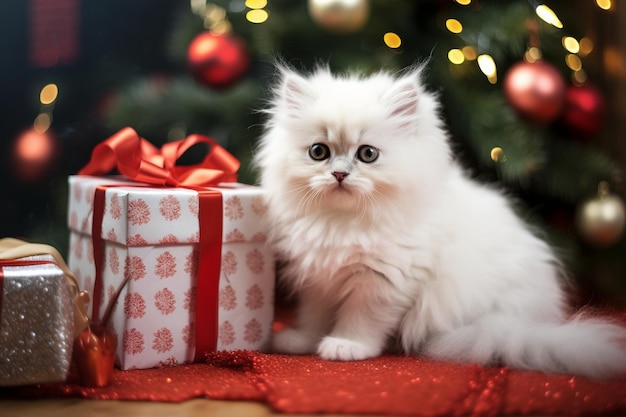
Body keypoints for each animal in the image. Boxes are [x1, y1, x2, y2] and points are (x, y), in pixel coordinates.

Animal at [254, 64, 624, 376]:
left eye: (367, 154)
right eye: (319, 152)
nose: (340, 174)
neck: (341, 222)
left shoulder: (383, 280)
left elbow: (362, 320)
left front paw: (346, 346)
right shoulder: (319, 277)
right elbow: (314, 315)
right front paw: (302, 341)